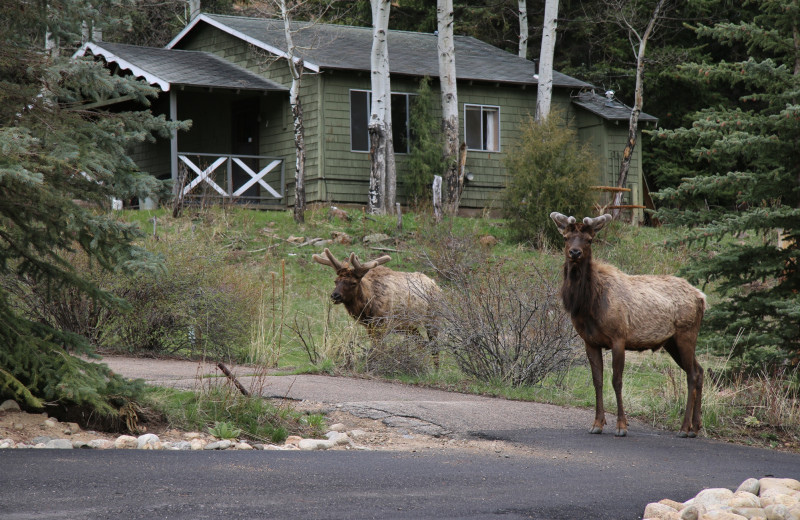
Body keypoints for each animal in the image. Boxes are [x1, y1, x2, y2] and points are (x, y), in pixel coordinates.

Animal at [310, 249, 440, 368]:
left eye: (353, 282)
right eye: (336, 281)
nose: (335, 296)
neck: (368, 307)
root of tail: (435, 284)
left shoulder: (383, 323)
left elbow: (379, 348)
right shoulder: (370, 326)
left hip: (432, 317)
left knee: (434, 345)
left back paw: (436, 370)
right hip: (408, 326)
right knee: (421, 342)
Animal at [552, 213, 708, 436]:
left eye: (589, 240)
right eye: (565, 237)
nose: (575, 252)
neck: (588, 304)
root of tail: (702, 297)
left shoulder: (619, 337)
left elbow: (617, 381)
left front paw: (621, 426)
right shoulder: (590, 341)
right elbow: (597, 381)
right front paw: (597, 423)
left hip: (686, 334)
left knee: (692, 374)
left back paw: (685, 427)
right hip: (671, 342)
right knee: (700, 370)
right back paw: (696, 426)